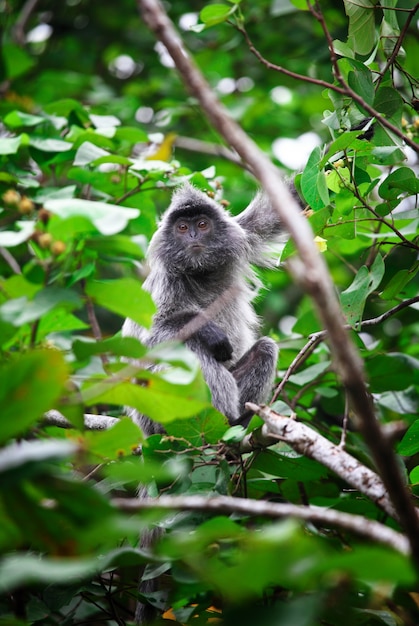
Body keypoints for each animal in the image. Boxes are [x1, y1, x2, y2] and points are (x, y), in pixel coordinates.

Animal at [123, 180, 284, 620]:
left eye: (201, 224)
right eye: (181, 228)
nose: (193, 236)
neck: (199, 273)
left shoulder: (242, 237)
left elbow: (277, 211)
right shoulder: (162, 286)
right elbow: (148, 343)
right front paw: (208, 331)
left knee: (265, 348)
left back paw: (236, 427)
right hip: (153, 416)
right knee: (188, 353)